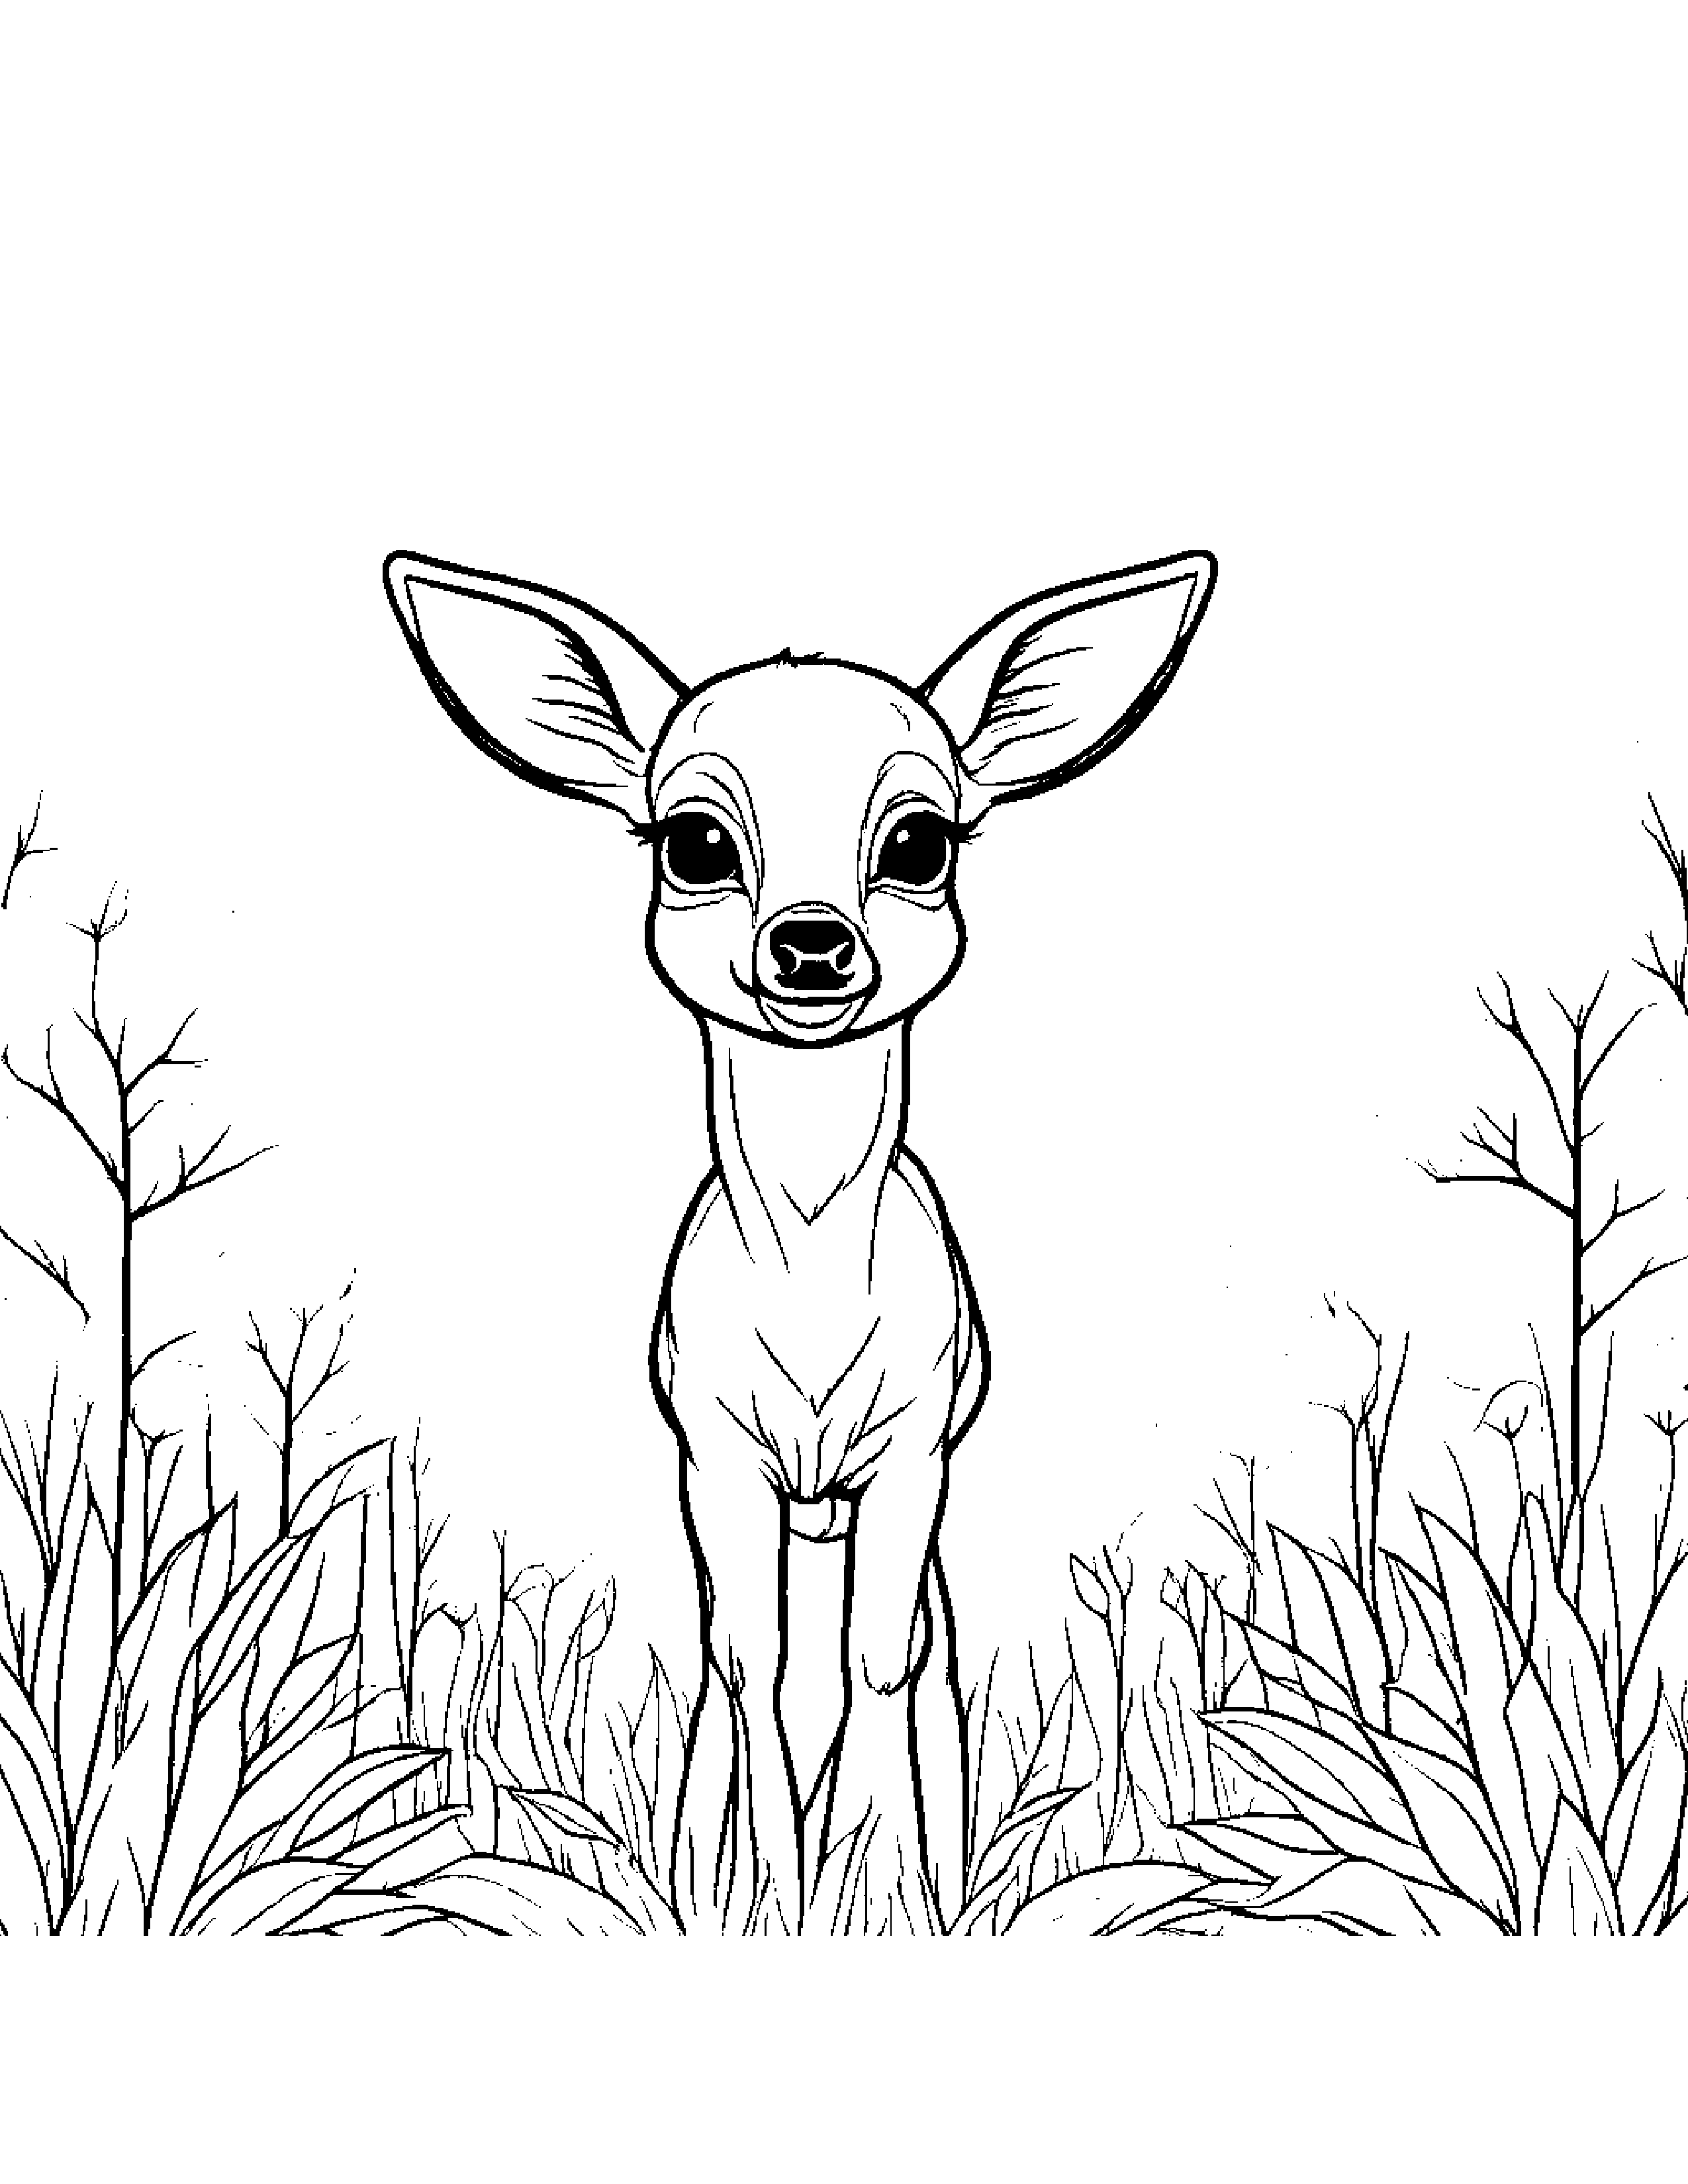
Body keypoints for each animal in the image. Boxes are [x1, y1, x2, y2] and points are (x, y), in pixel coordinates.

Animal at [383, 545, 1216, 1932]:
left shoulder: (914, 1450)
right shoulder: (715, 1454)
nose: (814, 944)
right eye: (694, 840)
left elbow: (880, 1660)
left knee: (923, 1655)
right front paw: (766, 1890)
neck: (815, 1271)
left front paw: (886, 1889)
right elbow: (750, 1660)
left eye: (921, 841)